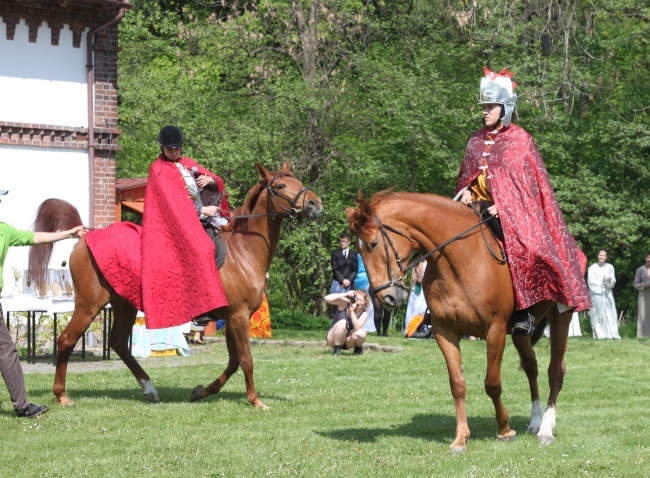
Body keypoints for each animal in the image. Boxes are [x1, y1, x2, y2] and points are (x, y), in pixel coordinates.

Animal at [29, 162, 322, 408]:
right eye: (281, 186)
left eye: (298, 181)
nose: (315, 205)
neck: (243, 250)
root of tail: (85, 236)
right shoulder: (238, 316)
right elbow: (246, 360)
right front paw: (255, 400)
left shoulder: (232, 317)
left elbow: (233, 361)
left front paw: (201, 391)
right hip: (89, 305)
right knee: (67, 339)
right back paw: (62, 395)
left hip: (124, 304)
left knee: (118, 342)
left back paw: (149, 388)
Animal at [346, 190, 568, 452]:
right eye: (358, 250)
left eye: (373, 243)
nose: (386, 297)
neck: (460, 261)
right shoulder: (445, 331)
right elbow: (457, 384)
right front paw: (461, 438)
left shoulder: (495, 330)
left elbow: (492, 383)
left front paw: (504, 429)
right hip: (519, 334)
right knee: (531, 366)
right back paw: (535, 420)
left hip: (561, 317)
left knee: (555, 370)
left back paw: (546, 428)